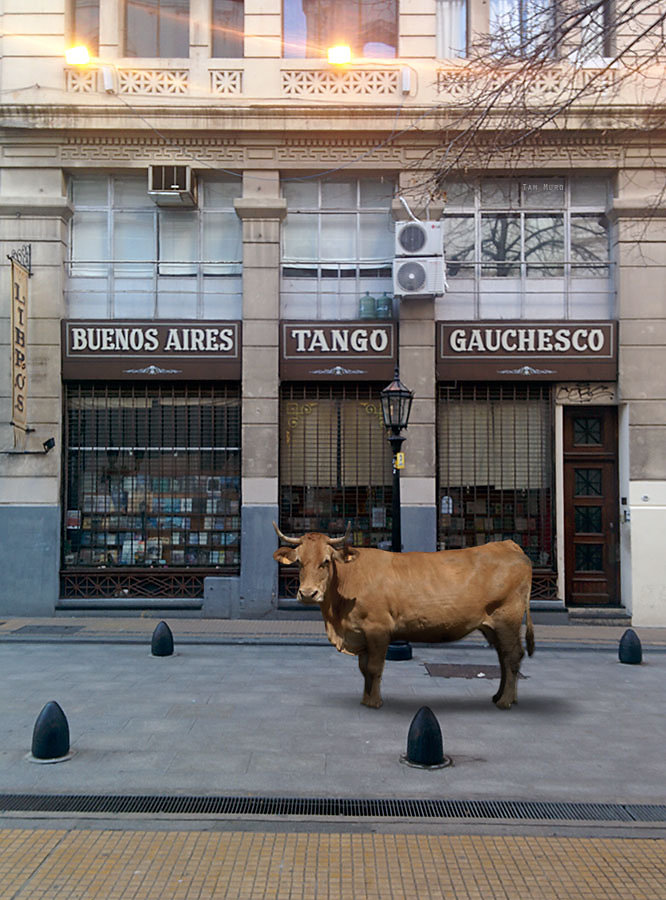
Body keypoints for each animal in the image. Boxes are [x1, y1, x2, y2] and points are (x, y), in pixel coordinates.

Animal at [272, 528, 532, 712]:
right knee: (503, 657)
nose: (307, 594)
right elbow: (364, 669)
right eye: (299, 562)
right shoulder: (362, 634)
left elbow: (374, 667)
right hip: (492, 626)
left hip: (507, 619)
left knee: (512, 656)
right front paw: (365, 699)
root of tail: (507, 545)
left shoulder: (378, 629)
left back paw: (505, 701)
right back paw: (499, 696)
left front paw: (374, 703)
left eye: (326, 561)